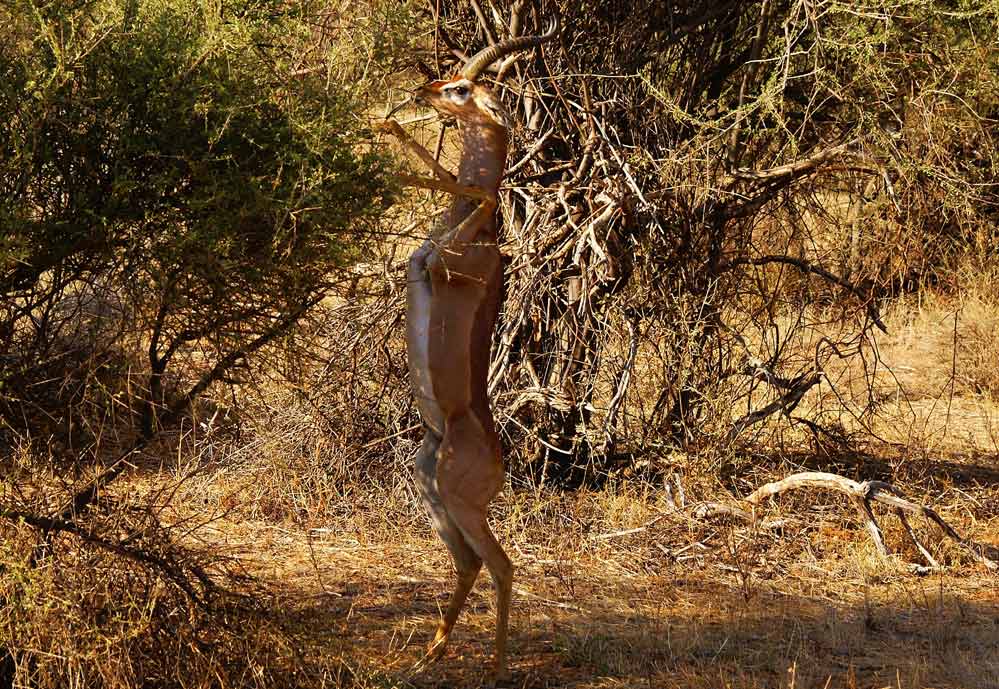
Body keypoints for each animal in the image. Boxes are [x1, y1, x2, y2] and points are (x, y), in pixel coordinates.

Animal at [378, 20, 560, 676]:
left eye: (461, 88)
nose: (423, 88)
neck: (475, 243)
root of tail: (501, 462)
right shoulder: (418, 260)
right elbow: (459, 184)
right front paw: (384, 127)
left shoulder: (441, 263)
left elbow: (480, 194)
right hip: (431, 486)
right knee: (471, 563)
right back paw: (428, 654)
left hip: (459, 501)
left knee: (501, 564)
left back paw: (498, 667)